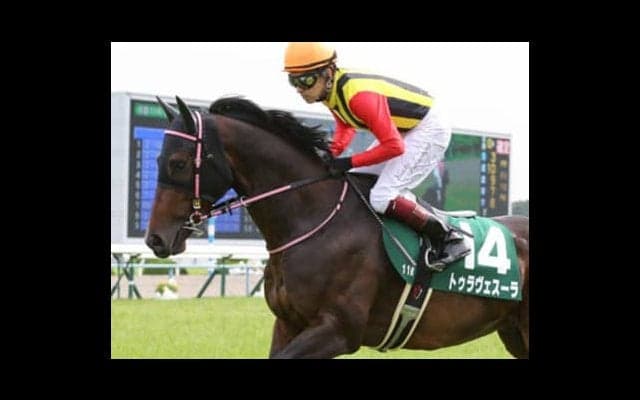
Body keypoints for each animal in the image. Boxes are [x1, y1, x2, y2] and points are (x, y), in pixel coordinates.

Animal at [145, 96, 529, 359]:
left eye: (179, 163)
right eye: (159, 160)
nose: (155, 239)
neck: (314, 219)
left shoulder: (338, 329)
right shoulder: (288, 323)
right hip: (514, 332)